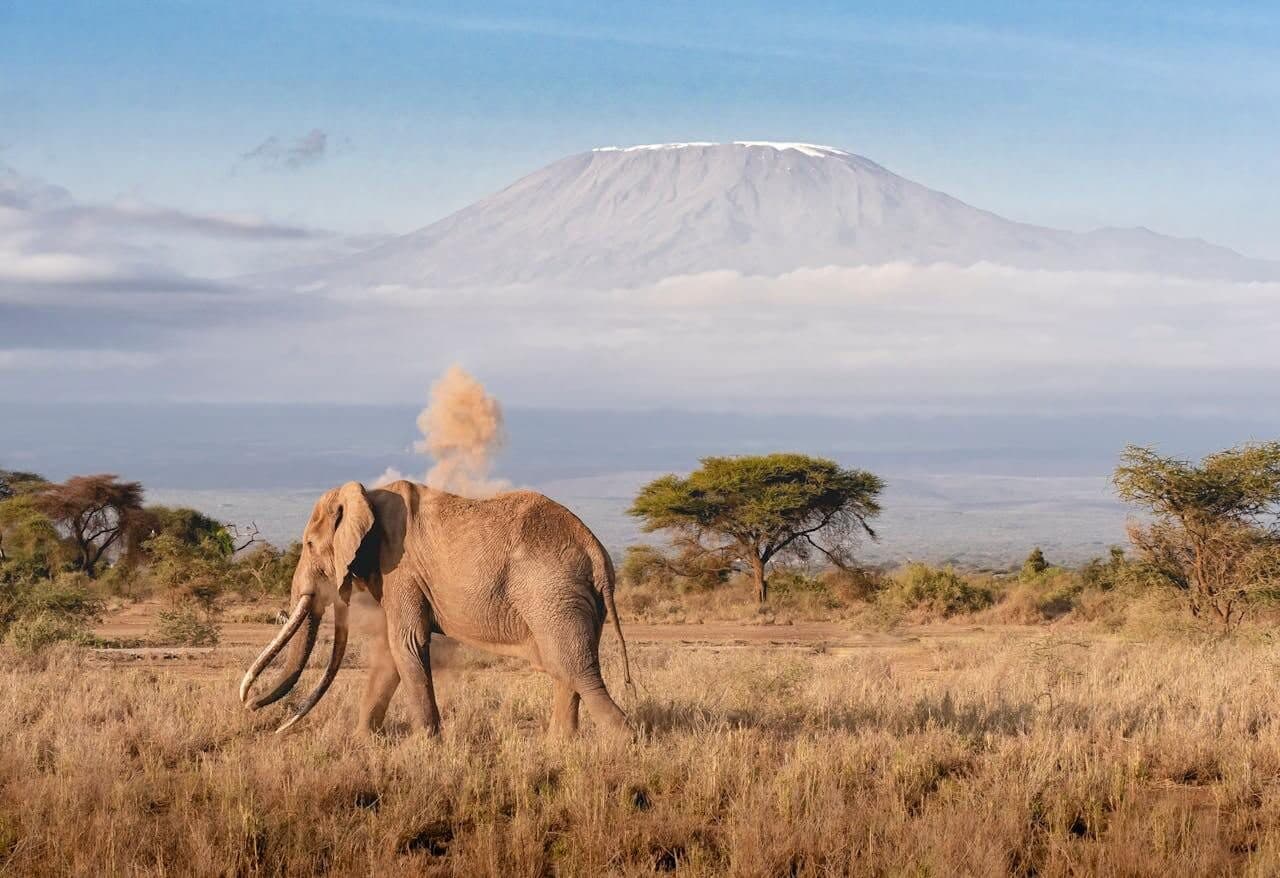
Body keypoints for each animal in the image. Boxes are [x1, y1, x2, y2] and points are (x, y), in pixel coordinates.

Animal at [239, 480, 633, 738]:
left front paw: (426, 746)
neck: (367, 495)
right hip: (572, 599)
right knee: (565, 668)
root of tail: (597, 552)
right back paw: (559, 748)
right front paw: (363, 742)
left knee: (576, 670)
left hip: (553, 594)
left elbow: (406, 643)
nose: (252, 706)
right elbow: (391, 652)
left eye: (308, 544)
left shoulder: (401, 568)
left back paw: (624, 743)